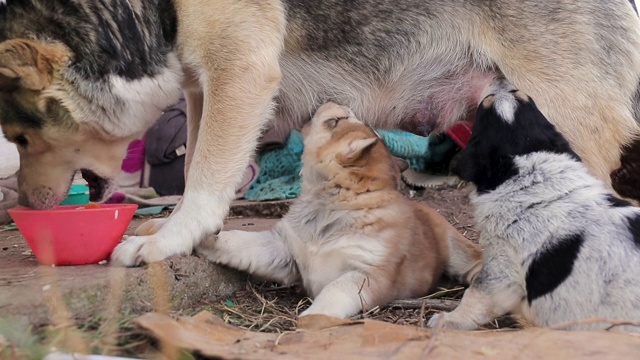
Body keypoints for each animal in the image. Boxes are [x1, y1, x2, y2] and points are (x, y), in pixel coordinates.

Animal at [1, 0, 640, 264]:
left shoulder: (242, 71)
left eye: (21, 139)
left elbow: (205, 171)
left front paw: (169, 240)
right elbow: (198, 162)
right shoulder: (204, 86)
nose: (25, 205)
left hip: (560, 118)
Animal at [428, 78, 640, 332]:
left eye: (484, 105)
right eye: (523, 96)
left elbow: (476, 296)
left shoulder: (501, 265)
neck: (531, 171)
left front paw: (445, 321)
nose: (500, 79)